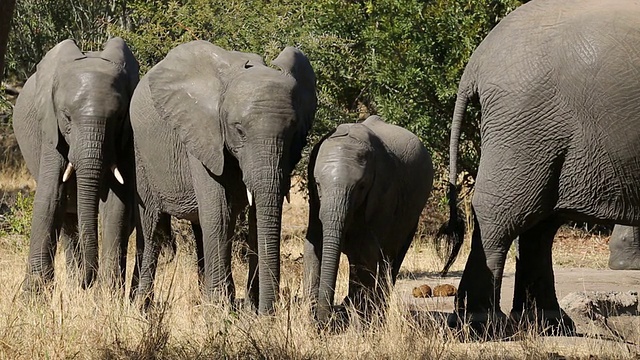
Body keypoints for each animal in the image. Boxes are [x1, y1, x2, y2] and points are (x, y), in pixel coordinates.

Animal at [12, 37, 140, 292]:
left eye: (120, 117)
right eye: (66, 117)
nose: (87, 282)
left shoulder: (126, 139)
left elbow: (116, 203)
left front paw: (108, 293)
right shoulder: (51, 130)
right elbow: (50, 197)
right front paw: (33, 294)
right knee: (68, 222)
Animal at [130, 40, 318, 314]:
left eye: (294, 131)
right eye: (239, 130)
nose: (268, 313)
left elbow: (255, 215)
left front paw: (248, 307)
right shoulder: (201, 134)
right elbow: (219, 212)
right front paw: (220, 308)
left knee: (200, 227)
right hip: (142, 155)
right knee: (151, 223)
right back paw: (143, 305)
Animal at [304, 116, 436, 324]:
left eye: (362, 186)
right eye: (317, 184)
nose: (325, 319)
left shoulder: (384, 192)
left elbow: (365, 254)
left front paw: (360, 328)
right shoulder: (315, 204)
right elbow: (314, 248)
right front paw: (311, 325)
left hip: (413, 215)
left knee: (390, 260)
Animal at [440, 0, 640, 332]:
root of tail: (477, 62)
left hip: (546, 134)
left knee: (540, 223)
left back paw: (548, 323)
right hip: (526, 121)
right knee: (505, 212)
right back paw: (482, 324)